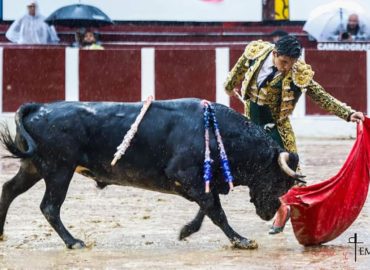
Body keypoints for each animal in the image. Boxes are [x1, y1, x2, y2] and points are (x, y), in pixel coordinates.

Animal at [0, 98, 300, 249]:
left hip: (34, 167)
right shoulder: (185, 175)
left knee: (9, 190)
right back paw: (73, 242)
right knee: (50, 206)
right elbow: (216, 210)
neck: (219, 133)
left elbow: (207, 208)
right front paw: (241, 240)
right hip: (59, 170)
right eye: (279, 179)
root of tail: (39, 107)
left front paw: (186, 231)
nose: (270, 213)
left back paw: (2, 234)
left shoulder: (199, 182)